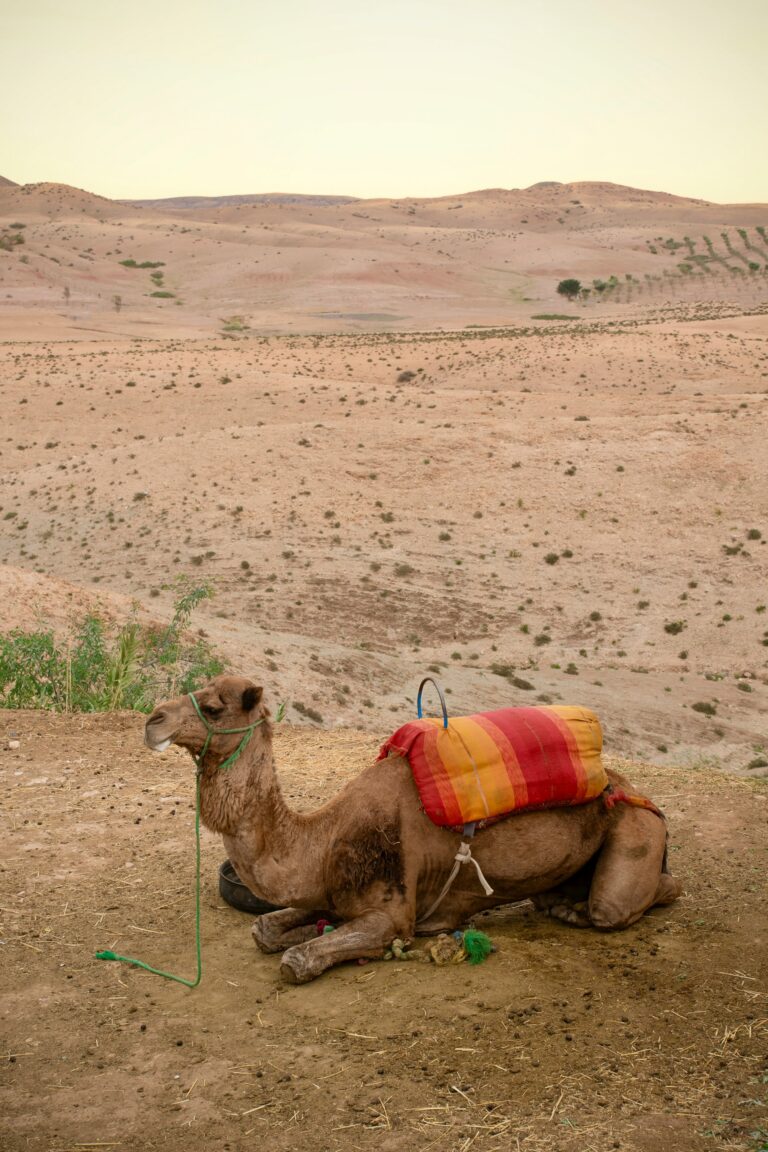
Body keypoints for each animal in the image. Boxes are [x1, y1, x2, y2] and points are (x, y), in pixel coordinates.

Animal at [144, 675, 682, 984]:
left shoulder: (391, 914)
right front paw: (282, 932)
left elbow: (297, 961)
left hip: (636, 829)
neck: (323, 838)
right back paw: (563, 905)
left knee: (630, 900)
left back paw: (584, 910)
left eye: (214, 707)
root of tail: (624, 785)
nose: (152, 719)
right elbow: (263, 928)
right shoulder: (330, 891)